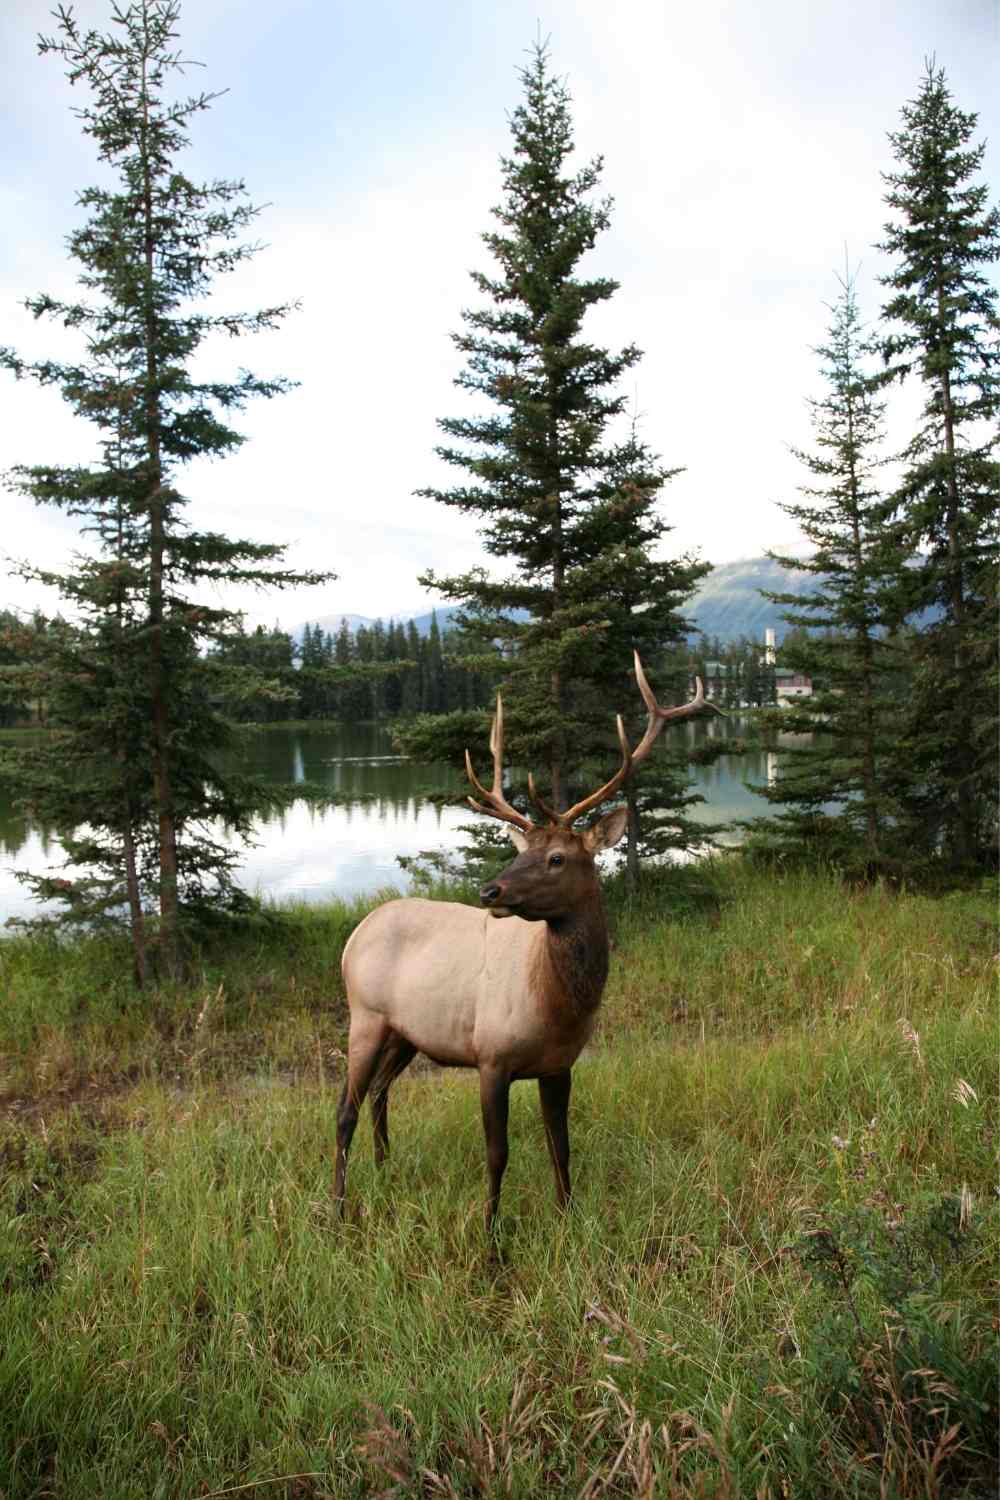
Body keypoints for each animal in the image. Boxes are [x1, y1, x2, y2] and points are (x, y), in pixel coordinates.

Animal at [334, 654, 704, 1230]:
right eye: (521, 850)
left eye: (556, 858)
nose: (491, 889)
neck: (558, 1007)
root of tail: (355, 935)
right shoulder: (492, 1056)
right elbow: (497, 1153)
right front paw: (489, 1234)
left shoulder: (559, 1066)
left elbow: (561, 1146)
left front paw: (568, 1218)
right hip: (365, 1016)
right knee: (343, 1110)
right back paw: (337, 1208)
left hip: (406, 1031)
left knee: (378, 1093)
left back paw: (385, 1169)